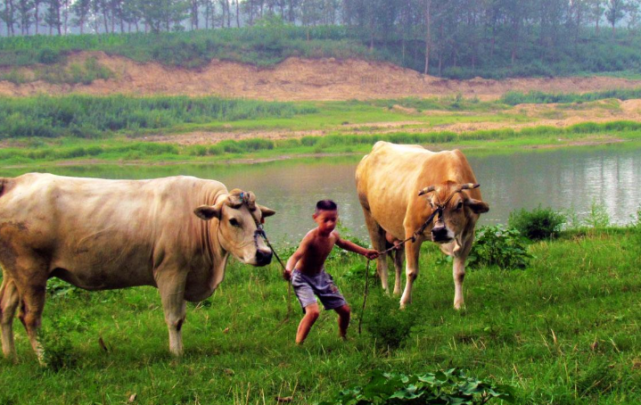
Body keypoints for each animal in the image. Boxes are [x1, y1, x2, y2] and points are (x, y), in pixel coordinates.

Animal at [0, 174, 272, 360]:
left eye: (259, 218)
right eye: (233, 220)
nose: (265, 254)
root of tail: (14, 181)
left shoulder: (183, 274)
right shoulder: (171, 271)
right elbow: (174, 318)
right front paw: (176, 354)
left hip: (14, 272)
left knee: (5, 310)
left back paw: (11, 356)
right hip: (31, 271)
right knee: (30, 317)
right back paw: (44, 359)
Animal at [352, 141, 488, 306]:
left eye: (459, 204)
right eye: (433, 205)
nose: (440, 231)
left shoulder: (468, 236)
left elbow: (459, 273)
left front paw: (459, 304)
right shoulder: (412, 231)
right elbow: (412, 272)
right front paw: (404, 302)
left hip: (398, 234)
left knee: (398, 262)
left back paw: (396, 291)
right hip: (371, 219)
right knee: (381, 262)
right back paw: (386, 293)